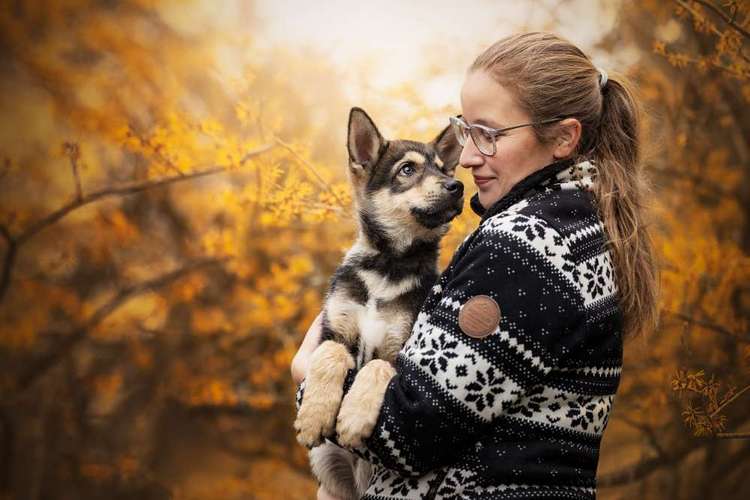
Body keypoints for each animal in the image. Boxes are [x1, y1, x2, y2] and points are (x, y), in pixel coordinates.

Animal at [296, 109, 464, 500]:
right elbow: (330, 355)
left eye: (443, 168)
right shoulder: (333, 329)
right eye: (407, 169)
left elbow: (375, 367)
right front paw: (314, 415)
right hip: (328, 475)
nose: (457, 186)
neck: (390, 266)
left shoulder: (402, 345)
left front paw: (354, 417)